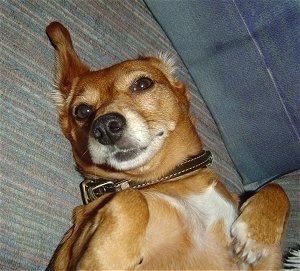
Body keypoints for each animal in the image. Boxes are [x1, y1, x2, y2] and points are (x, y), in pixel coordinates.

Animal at [45, 22, 290, 270]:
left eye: (143, 83)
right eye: (82, 111)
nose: (105, 127)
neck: (164, 178)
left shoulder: (265, 263)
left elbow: (278, 188)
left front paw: (257, 233)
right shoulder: (69, 254)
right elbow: (132, 198)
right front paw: (109, 258)